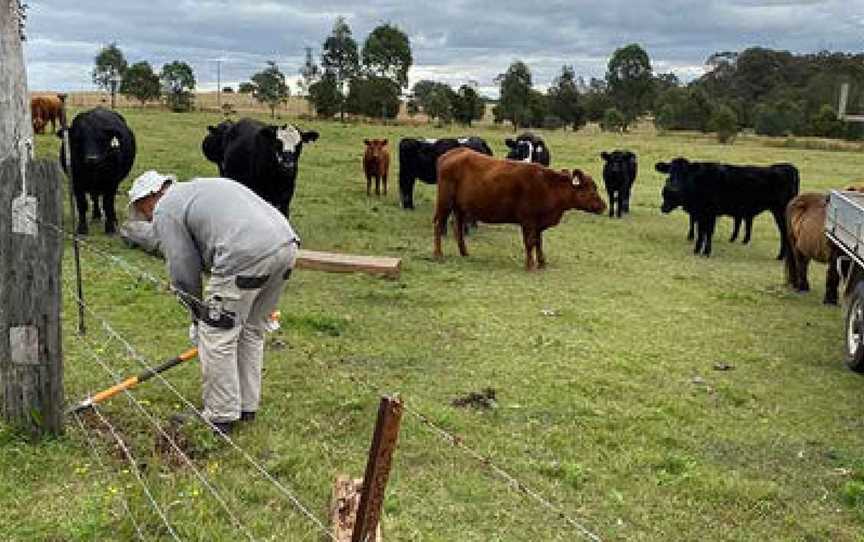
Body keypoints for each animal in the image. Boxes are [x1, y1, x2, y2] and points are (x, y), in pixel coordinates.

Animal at [58, 108, 137, 236]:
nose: (92, 158)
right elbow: (82, 204)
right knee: (94, 197)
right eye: (79, 139)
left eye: (101, 139)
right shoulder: (76, 183)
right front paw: (82, 228)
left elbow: (108, 204)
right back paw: (96, 215)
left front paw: (110, 228)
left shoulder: (111, 183)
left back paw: (113, 218)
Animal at [432, 148, 608, 270]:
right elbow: (530, 242)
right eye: (591, 189)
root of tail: (451, 153)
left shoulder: (538, 224)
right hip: (444, 203)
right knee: (439, 225)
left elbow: (538, 242)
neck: (548, 186)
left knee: (458, 228)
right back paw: (438, 254)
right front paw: (530, 265)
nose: (603, 206)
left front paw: (542, 263)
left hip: (459, 208)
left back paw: (464, 253)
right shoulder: (528, 221)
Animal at [660, 157, 800, 260]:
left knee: (784, 232)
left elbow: (708, 232)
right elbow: (701, 232)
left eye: (686, 173)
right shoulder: (700, 213)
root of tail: (788, 167)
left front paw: (706, 252)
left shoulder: (709, 213)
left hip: (780, 211)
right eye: (670, 172)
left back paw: (781, 256)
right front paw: (696, 250)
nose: (673, 188)